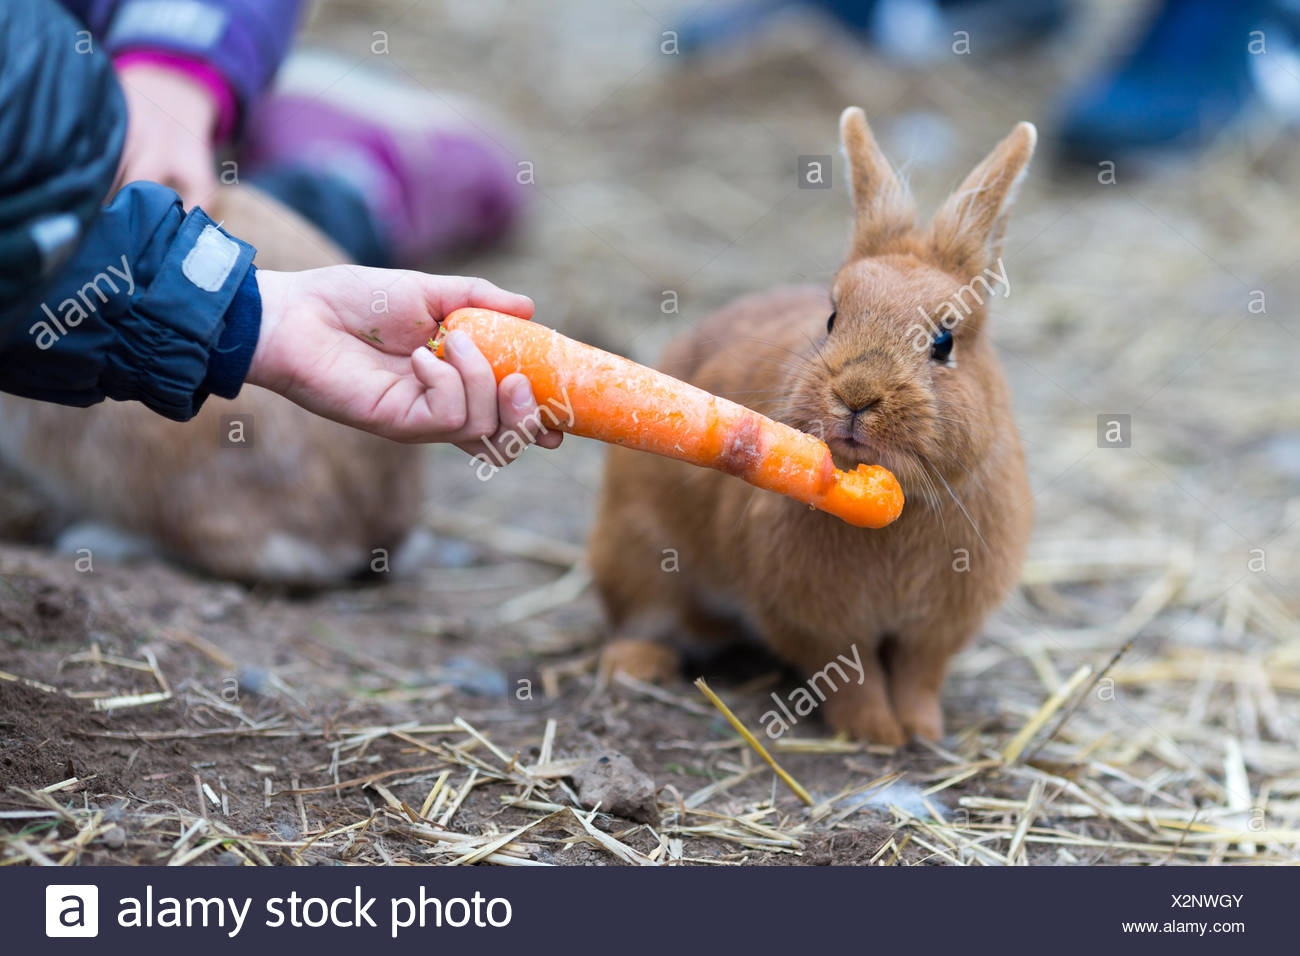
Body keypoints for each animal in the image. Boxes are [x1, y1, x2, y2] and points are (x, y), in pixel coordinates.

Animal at [589, 109, 1036, 744]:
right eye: (831, 318)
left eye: (945, 342)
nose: (856, 395)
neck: (894, 504)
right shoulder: (819, 624)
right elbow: (854, 677)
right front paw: (876, 733)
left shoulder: (935, 630)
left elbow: (918, 675)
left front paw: (921, 730)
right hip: (638, 551)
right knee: (641, 615)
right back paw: (638, 665)